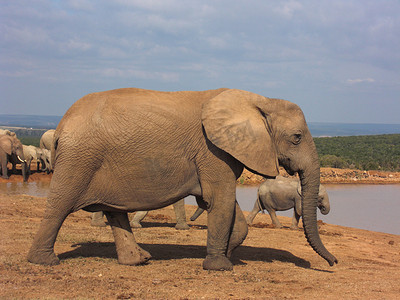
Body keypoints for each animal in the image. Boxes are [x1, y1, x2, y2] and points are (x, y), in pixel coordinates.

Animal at [26, 86, 338, 270]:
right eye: (296, 138)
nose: (333, 263)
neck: (259, 100)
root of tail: (62, 123)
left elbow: (225, 206)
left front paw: (228, 254)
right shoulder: (212, 150)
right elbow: (220, 200)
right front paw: (220, 266)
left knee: (115, 211)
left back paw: (138, 261)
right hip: (79, 159)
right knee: (60, 205)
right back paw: (45, 261)